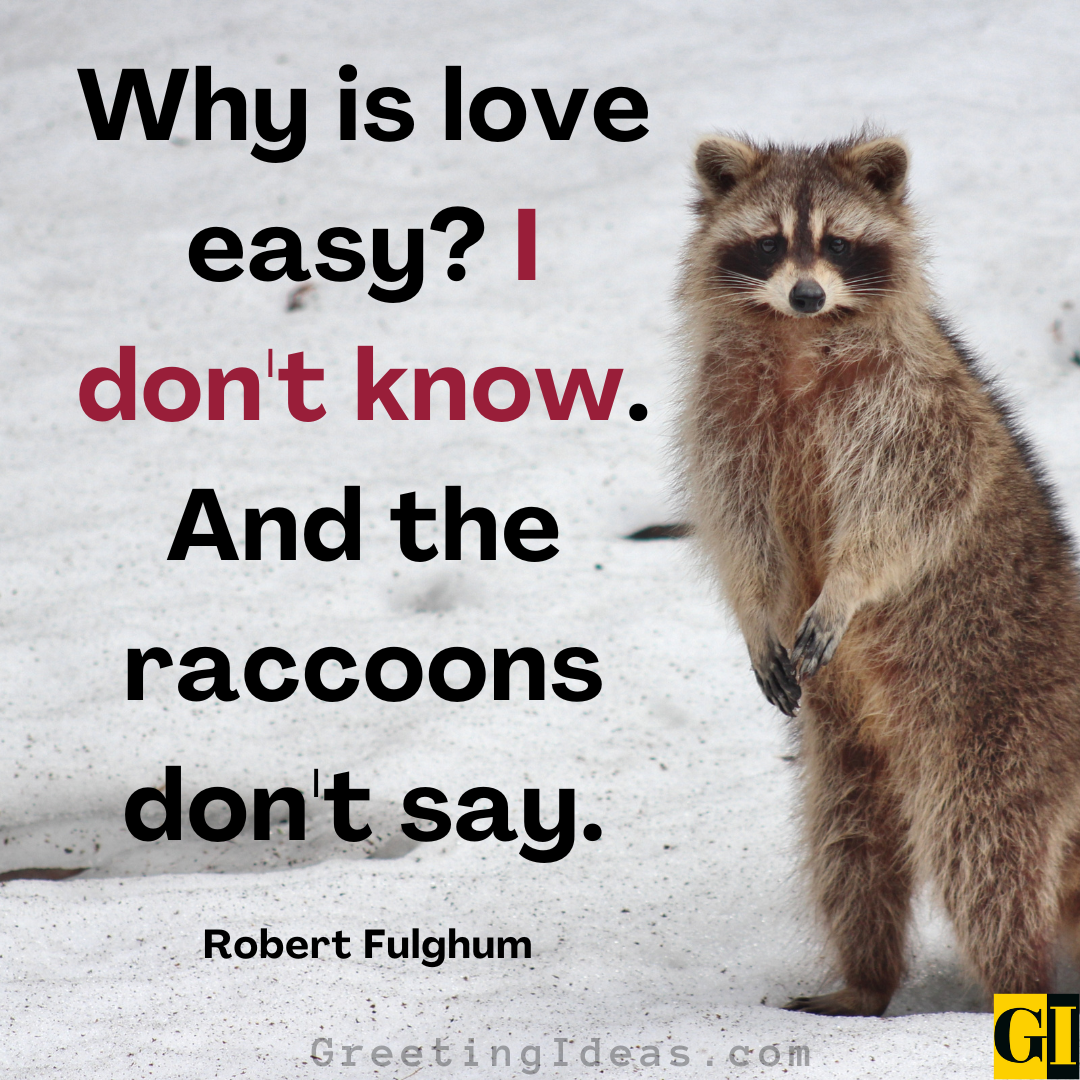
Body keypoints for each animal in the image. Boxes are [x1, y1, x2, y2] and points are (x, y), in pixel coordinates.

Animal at [678, 131, 1080, 1016]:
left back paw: (1018, 987)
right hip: (846, 745)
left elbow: (907, 512)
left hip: (1002, 731)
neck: (799, 342)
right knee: (849, 844)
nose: (803, 294)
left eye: (834, 243)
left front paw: (848, 586)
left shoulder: (914, 404)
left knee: (984, 854)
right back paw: (865, 981)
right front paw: (756, 609)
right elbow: (739, 528)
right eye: (770, 244)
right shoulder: (724, 415)